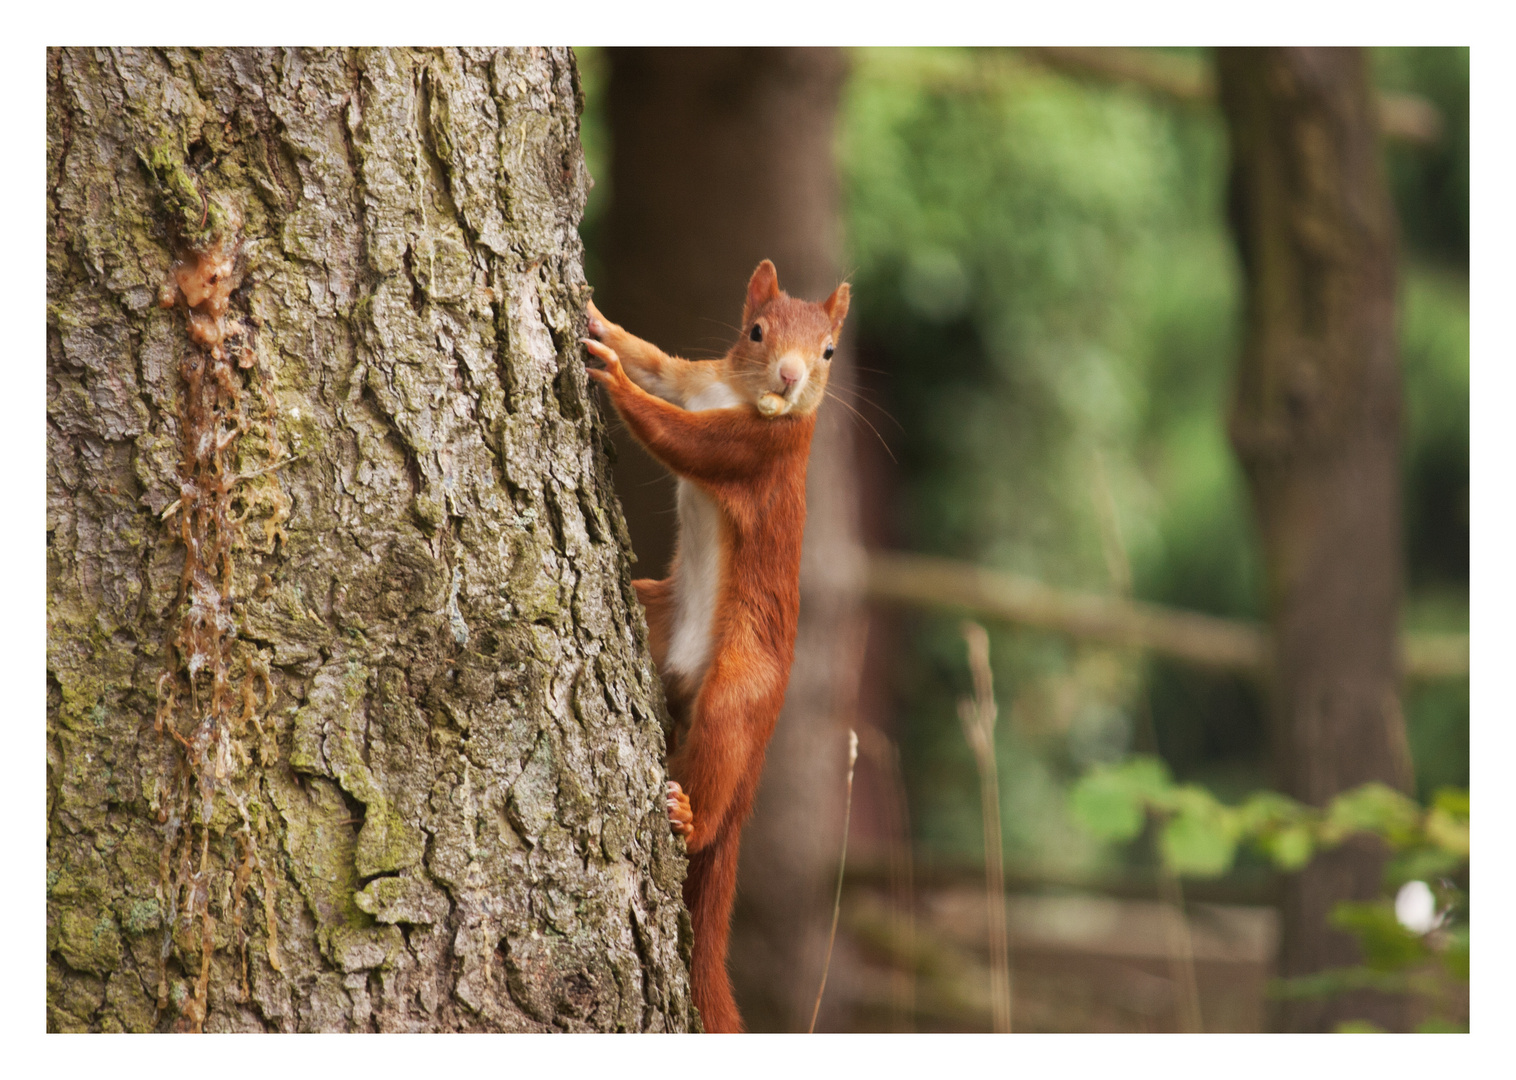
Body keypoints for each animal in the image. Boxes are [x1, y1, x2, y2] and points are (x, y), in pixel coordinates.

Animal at [579, 259, 848, 1031]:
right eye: (756, 331)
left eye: (829, 352)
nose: (790, 376)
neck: (741, 396)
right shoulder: (697, 380)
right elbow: (661, 366)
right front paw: (602, 326)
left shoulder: (759, 453)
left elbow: (680, 437)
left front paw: (614, 381)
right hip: (655, 612)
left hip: (741, 686)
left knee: (717, 756)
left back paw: (688, 815)